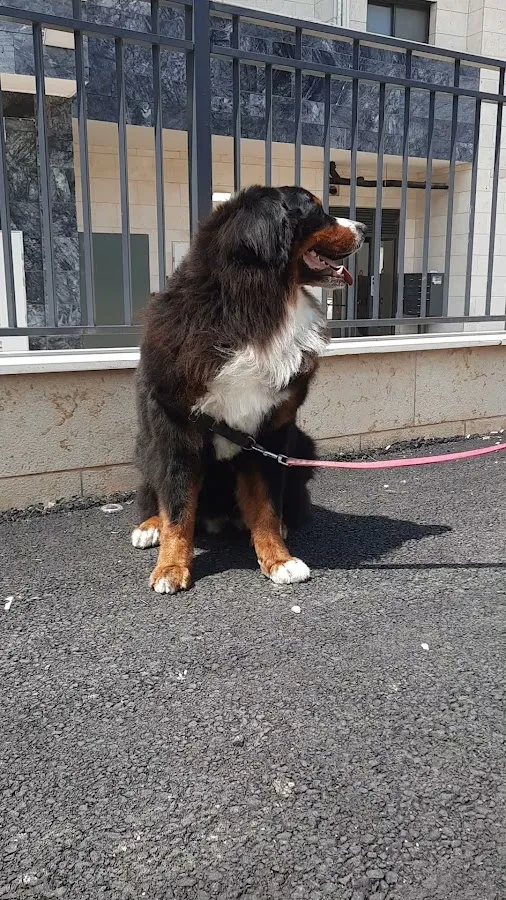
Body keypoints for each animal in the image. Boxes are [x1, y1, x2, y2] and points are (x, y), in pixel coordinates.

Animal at [132, 186, 365, 593]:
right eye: (315, 210)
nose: (365, 229)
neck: (253, 308)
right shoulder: (176, 429)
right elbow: (177, 507)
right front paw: (171, 567)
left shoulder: (270, 433)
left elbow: (266, 505)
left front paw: (279, 559)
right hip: (147, 442)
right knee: (156, 492)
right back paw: (149, 527)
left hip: (301, 444)